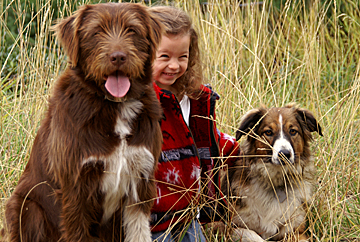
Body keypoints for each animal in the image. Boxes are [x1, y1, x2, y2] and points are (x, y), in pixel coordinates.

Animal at [2, 2, 162, 242]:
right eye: (96, 32)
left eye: (132, 30)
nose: (118, 57)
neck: (114, 106)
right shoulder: (75, 187)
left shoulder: (141, 180)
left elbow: (139, 232)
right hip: (26, 207)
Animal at [221, 103, 322, 240]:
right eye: (268, 132)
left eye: (293, 131)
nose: (284, 154)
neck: (275, 181)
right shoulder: (226, 226)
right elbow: (253, 235)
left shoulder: (296, 230)